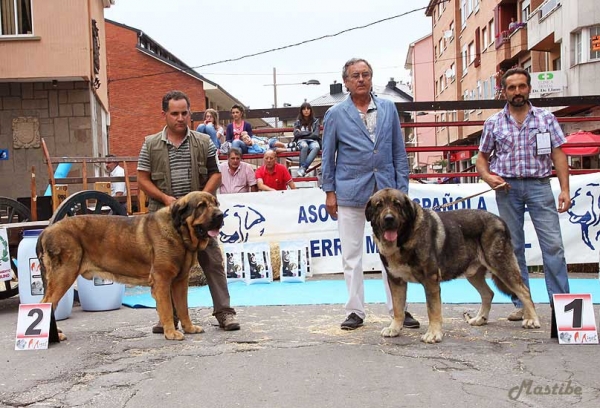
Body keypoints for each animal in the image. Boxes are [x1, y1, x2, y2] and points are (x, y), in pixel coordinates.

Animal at [38, 191, 225, 342]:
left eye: (216, 203)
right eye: (201, 206)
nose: (220, 215)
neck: (179, 232)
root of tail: (46, 231)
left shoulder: (180, 281)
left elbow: (183, 307)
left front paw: (189, 328)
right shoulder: (162, 280)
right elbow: (167, 309)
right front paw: (171, 333)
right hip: (64, 276)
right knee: (47, 303)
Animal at [364, 190, 540, 342]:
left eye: (397, 204)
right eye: (379, 205)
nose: (388, 218)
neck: (403, 239)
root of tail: (500, 220)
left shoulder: (430, 281)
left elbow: (433, 310)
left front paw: (433, 334)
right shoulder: (396, 281)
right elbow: (398, 308)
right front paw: (394, 328)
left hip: (501, 265)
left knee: (524, 291)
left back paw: (532, 320)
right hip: (473, 273)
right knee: (488, 293)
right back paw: (479, 319)